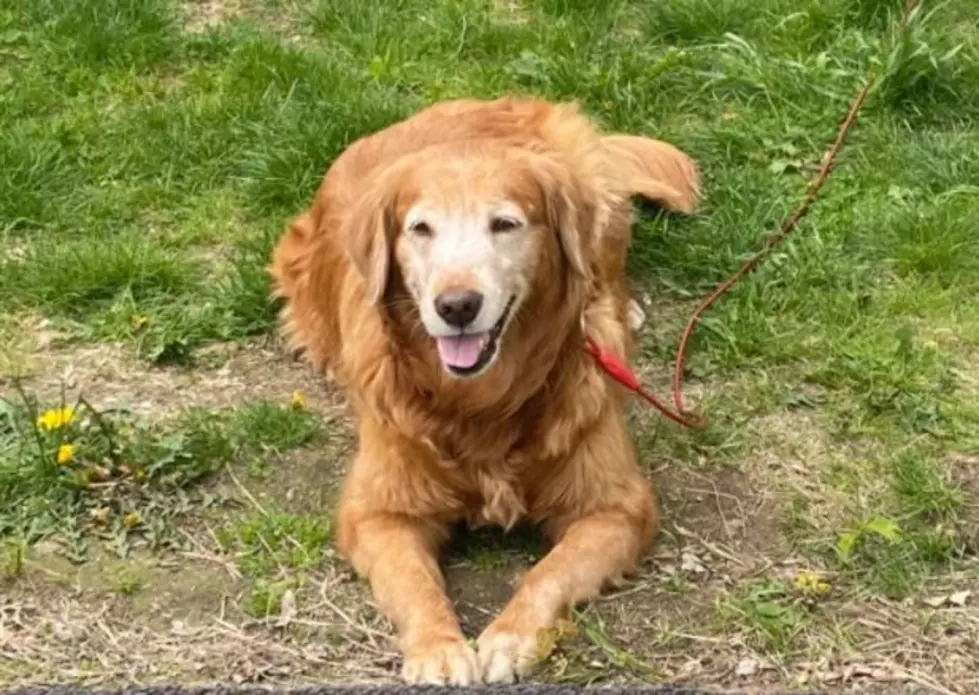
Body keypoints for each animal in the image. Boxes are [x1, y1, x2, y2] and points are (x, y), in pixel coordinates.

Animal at [266, 96, 696, 684]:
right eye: (421, 229)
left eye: (505, 224)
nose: (457, 305)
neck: (482, 405)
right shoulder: (376, 513)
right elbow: (414, 581)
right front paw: (438, 648)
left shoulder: (617, 506)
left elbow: (550, 572)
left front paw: (511, 636)